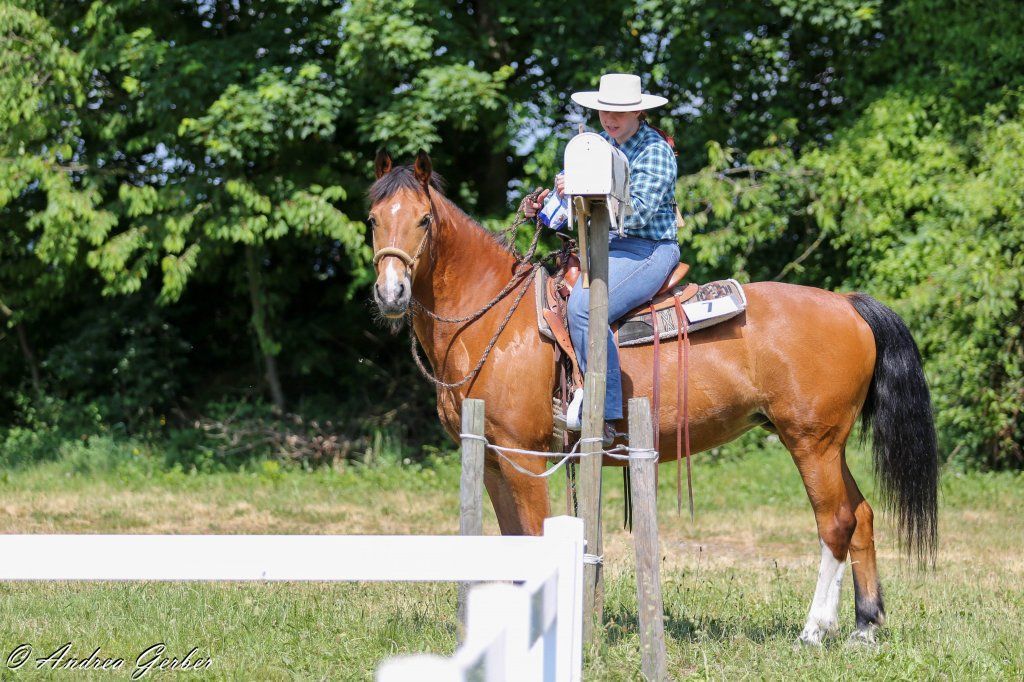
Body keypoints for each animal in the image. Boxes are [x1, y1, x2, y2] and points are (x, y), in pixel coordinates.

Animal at [367, 149, 938, 645]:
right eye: (373, 220)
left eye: (423, 220)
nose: (391, 293)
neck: (494, 320)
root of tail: (847, 303)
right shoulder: (489, 457)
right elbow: (510, 542)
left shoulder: (523, 455)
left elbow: (530, 537)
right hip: (828, 443)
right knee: (862, 516)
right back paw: (865, 628)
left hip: (811, 442)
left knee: (836, 522)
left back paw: (814, 630)